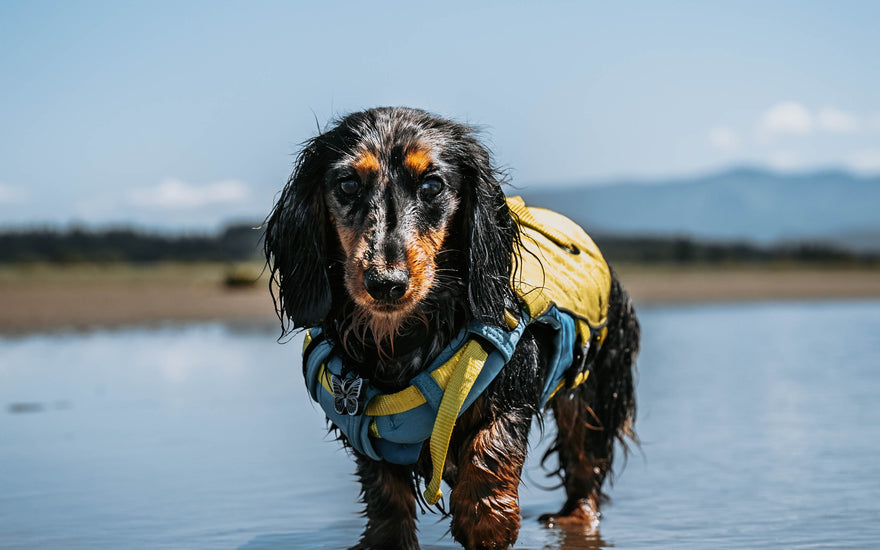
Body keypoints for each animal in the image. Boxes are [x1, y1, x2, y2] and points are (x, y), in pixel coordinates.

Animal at [262, 108, 640, 550]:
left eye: (432, 184)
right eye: (348, 183)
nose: (386, 283)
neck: (402, 339)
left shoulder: (511, 382)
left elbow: (493, 442)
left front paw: (486, 517)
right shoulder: (364, 431)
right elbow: (385, 497)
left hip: (592, 388)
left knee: (586, 460)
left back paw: (575, 520)